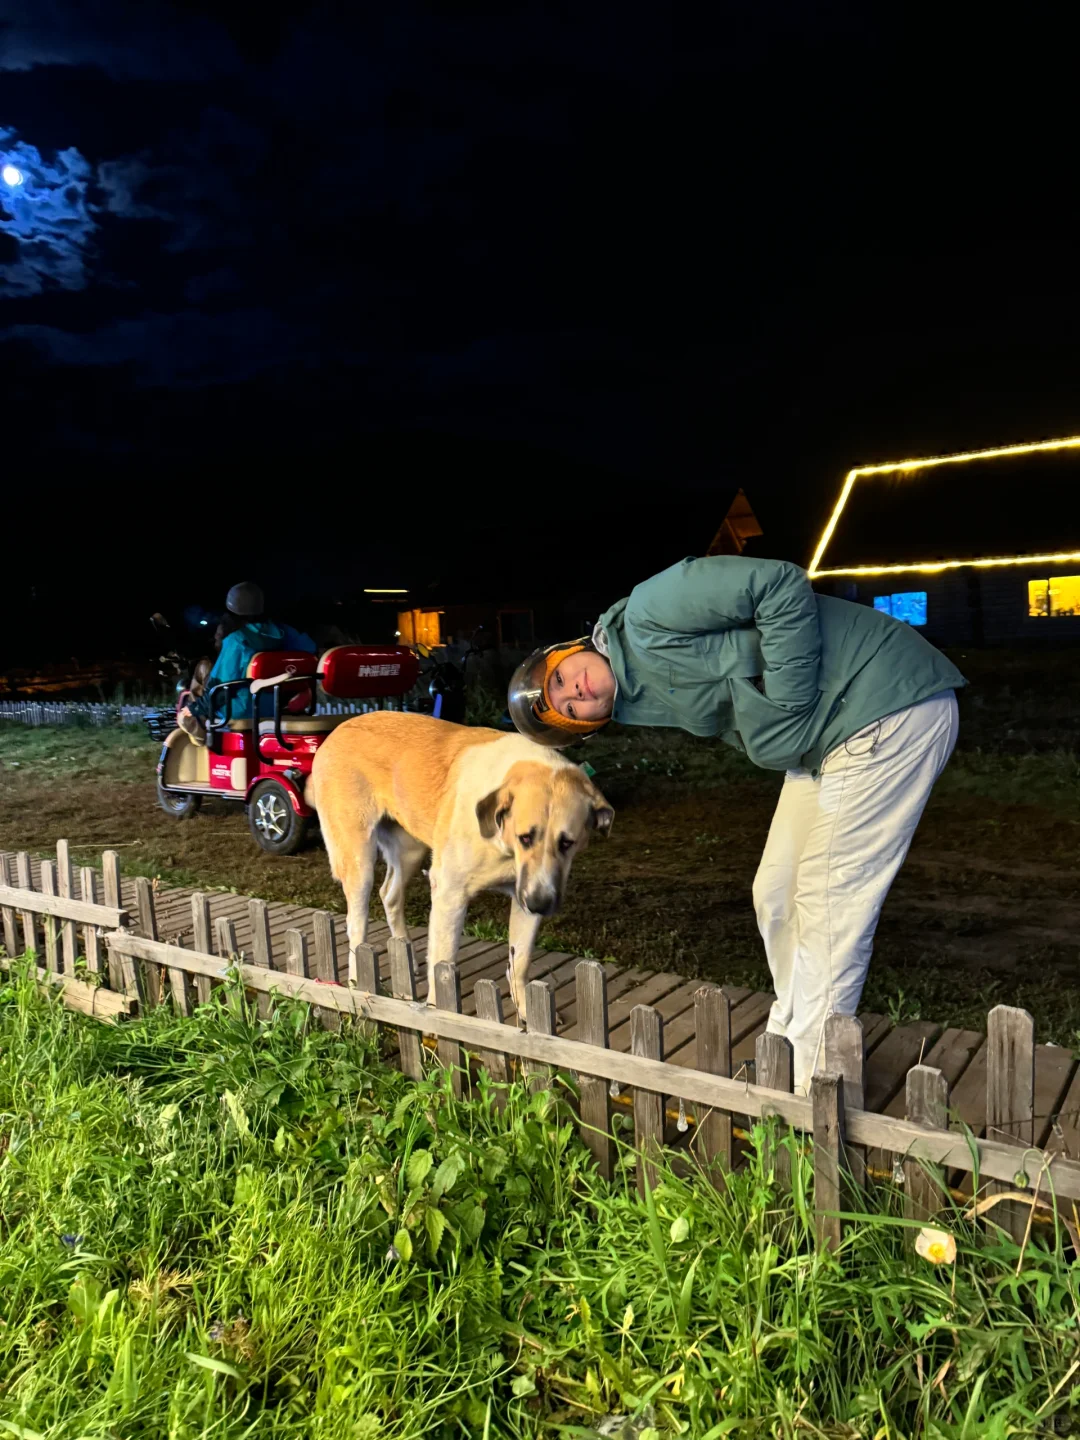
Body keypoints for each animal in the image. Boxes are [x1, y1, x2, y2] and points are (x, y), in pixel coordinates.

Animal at [308, 708, 613, 1013]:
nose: (541, 904)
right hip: (359, 861)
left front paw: (528, 1014)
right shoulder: (450, 894)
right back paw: (357, 982)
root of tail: (339, 730)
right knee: (356, 927)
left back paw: (405, 955)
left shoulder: (526, 895)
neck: (502, 842)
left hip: (410, 851)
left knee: (389, 894)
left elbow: (521, 962)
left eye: (567, 843)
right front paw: (438, 1012)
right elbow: (442, 963)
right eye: (525, 838)